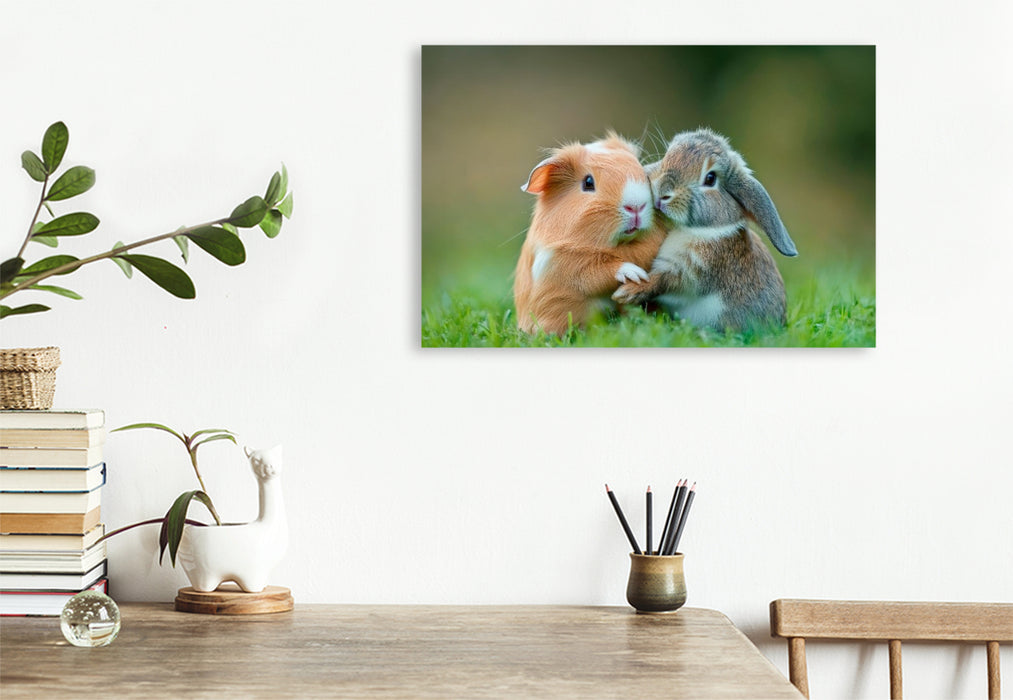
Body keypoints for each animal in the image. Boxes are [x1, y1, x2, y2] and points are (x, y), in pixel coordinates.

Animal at [514, 132, 667, 335]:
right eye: (588, 182)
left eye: (641, 172)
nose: (636, 207)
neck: (617, 246)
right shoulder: (565, 265)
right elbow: (598, 272)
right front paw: (634, 274)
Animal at [612, 128, 798, 331]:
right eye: (667, 156)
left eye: (710, 178)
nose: (663, 192)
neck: (698, 228)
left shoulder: (690, 270)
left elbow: (660, 281)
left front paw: (625, 292)